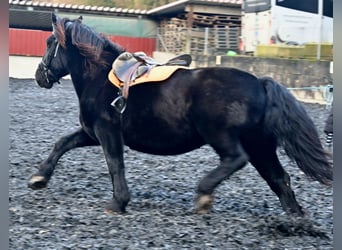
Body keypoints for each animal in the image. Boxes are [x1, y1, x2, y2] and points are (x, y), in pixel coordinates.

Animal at [30, 14, 332, 217]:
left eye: (49, 42)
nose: (39, 76)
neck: (101, 77)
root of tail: (260, 83)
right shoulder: (92, 133)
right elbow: (62, 143)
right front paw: (38, 178)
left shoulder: (107, 132)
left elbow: (114, 164)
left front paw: (118, 202)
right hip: (261, 144)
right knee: (278, 178)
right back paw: (296, 219)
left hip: (222, 136)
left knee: (236, 159)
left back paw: (204, 194)